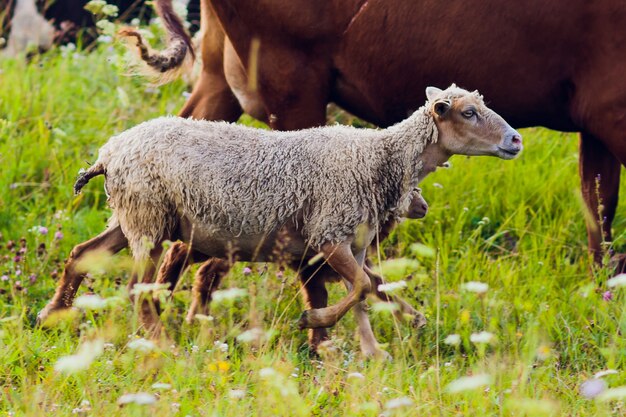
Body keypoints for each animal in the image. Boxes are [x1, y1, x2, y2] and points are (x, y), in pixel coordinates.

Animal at [36, 83, 520, 352]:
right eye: (469, 112)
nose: (516, 140)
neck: (378, 157)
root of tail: (109, 153)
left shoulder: (354, 241)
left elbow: (367, 289)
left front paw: (380, 344)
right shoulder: (329, 233)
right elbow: (362, 288)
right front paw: (316, 324)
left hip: (133, 217)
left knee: (81, 253)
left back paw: (52, 315)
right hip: (148, 215)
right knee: (139, 290)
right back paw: (161, 344)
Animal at [120, 0, 624, 268]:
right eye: (470, 111)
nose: (515, 139)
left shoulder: (598, 127)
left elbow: (598, 212)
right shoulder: (612, 112)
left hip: (218, 80)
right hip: (290, 87)